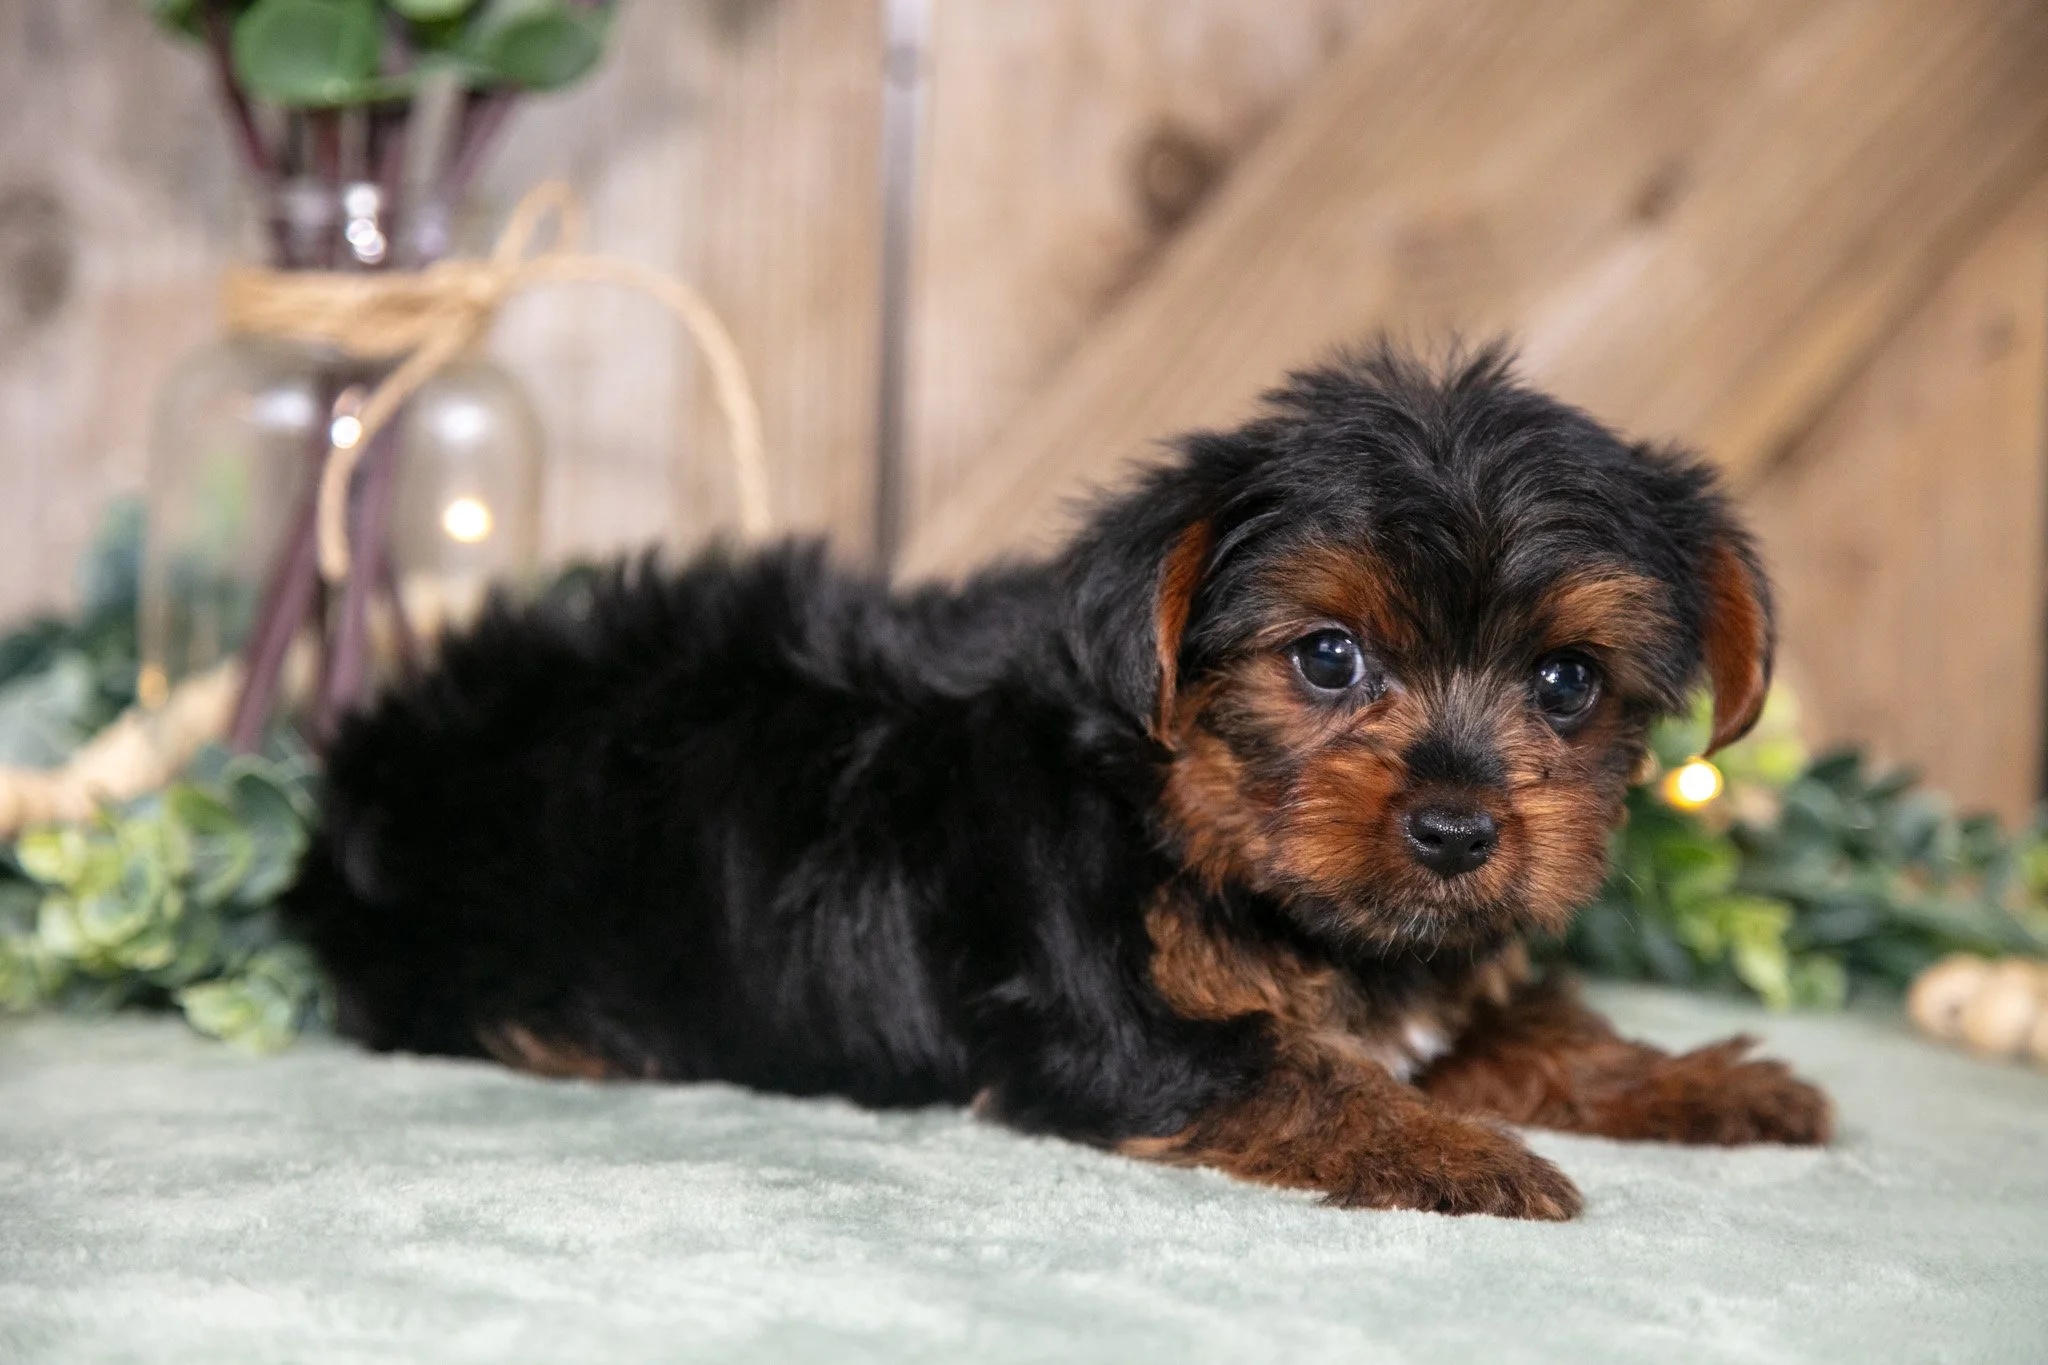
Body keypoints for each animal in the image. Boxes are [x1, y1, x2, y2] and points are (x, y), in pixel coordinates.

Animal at [286, 344, 1831, 1220]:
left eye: (1566, 682)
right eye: (1327, 659)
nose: (1456, 832)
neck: (1183, 811)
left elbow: (1523, 1018)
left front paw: (1699, 1081)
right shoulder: (1103, 1015)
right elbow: (1292, 1064)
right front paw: (1458, 1151)